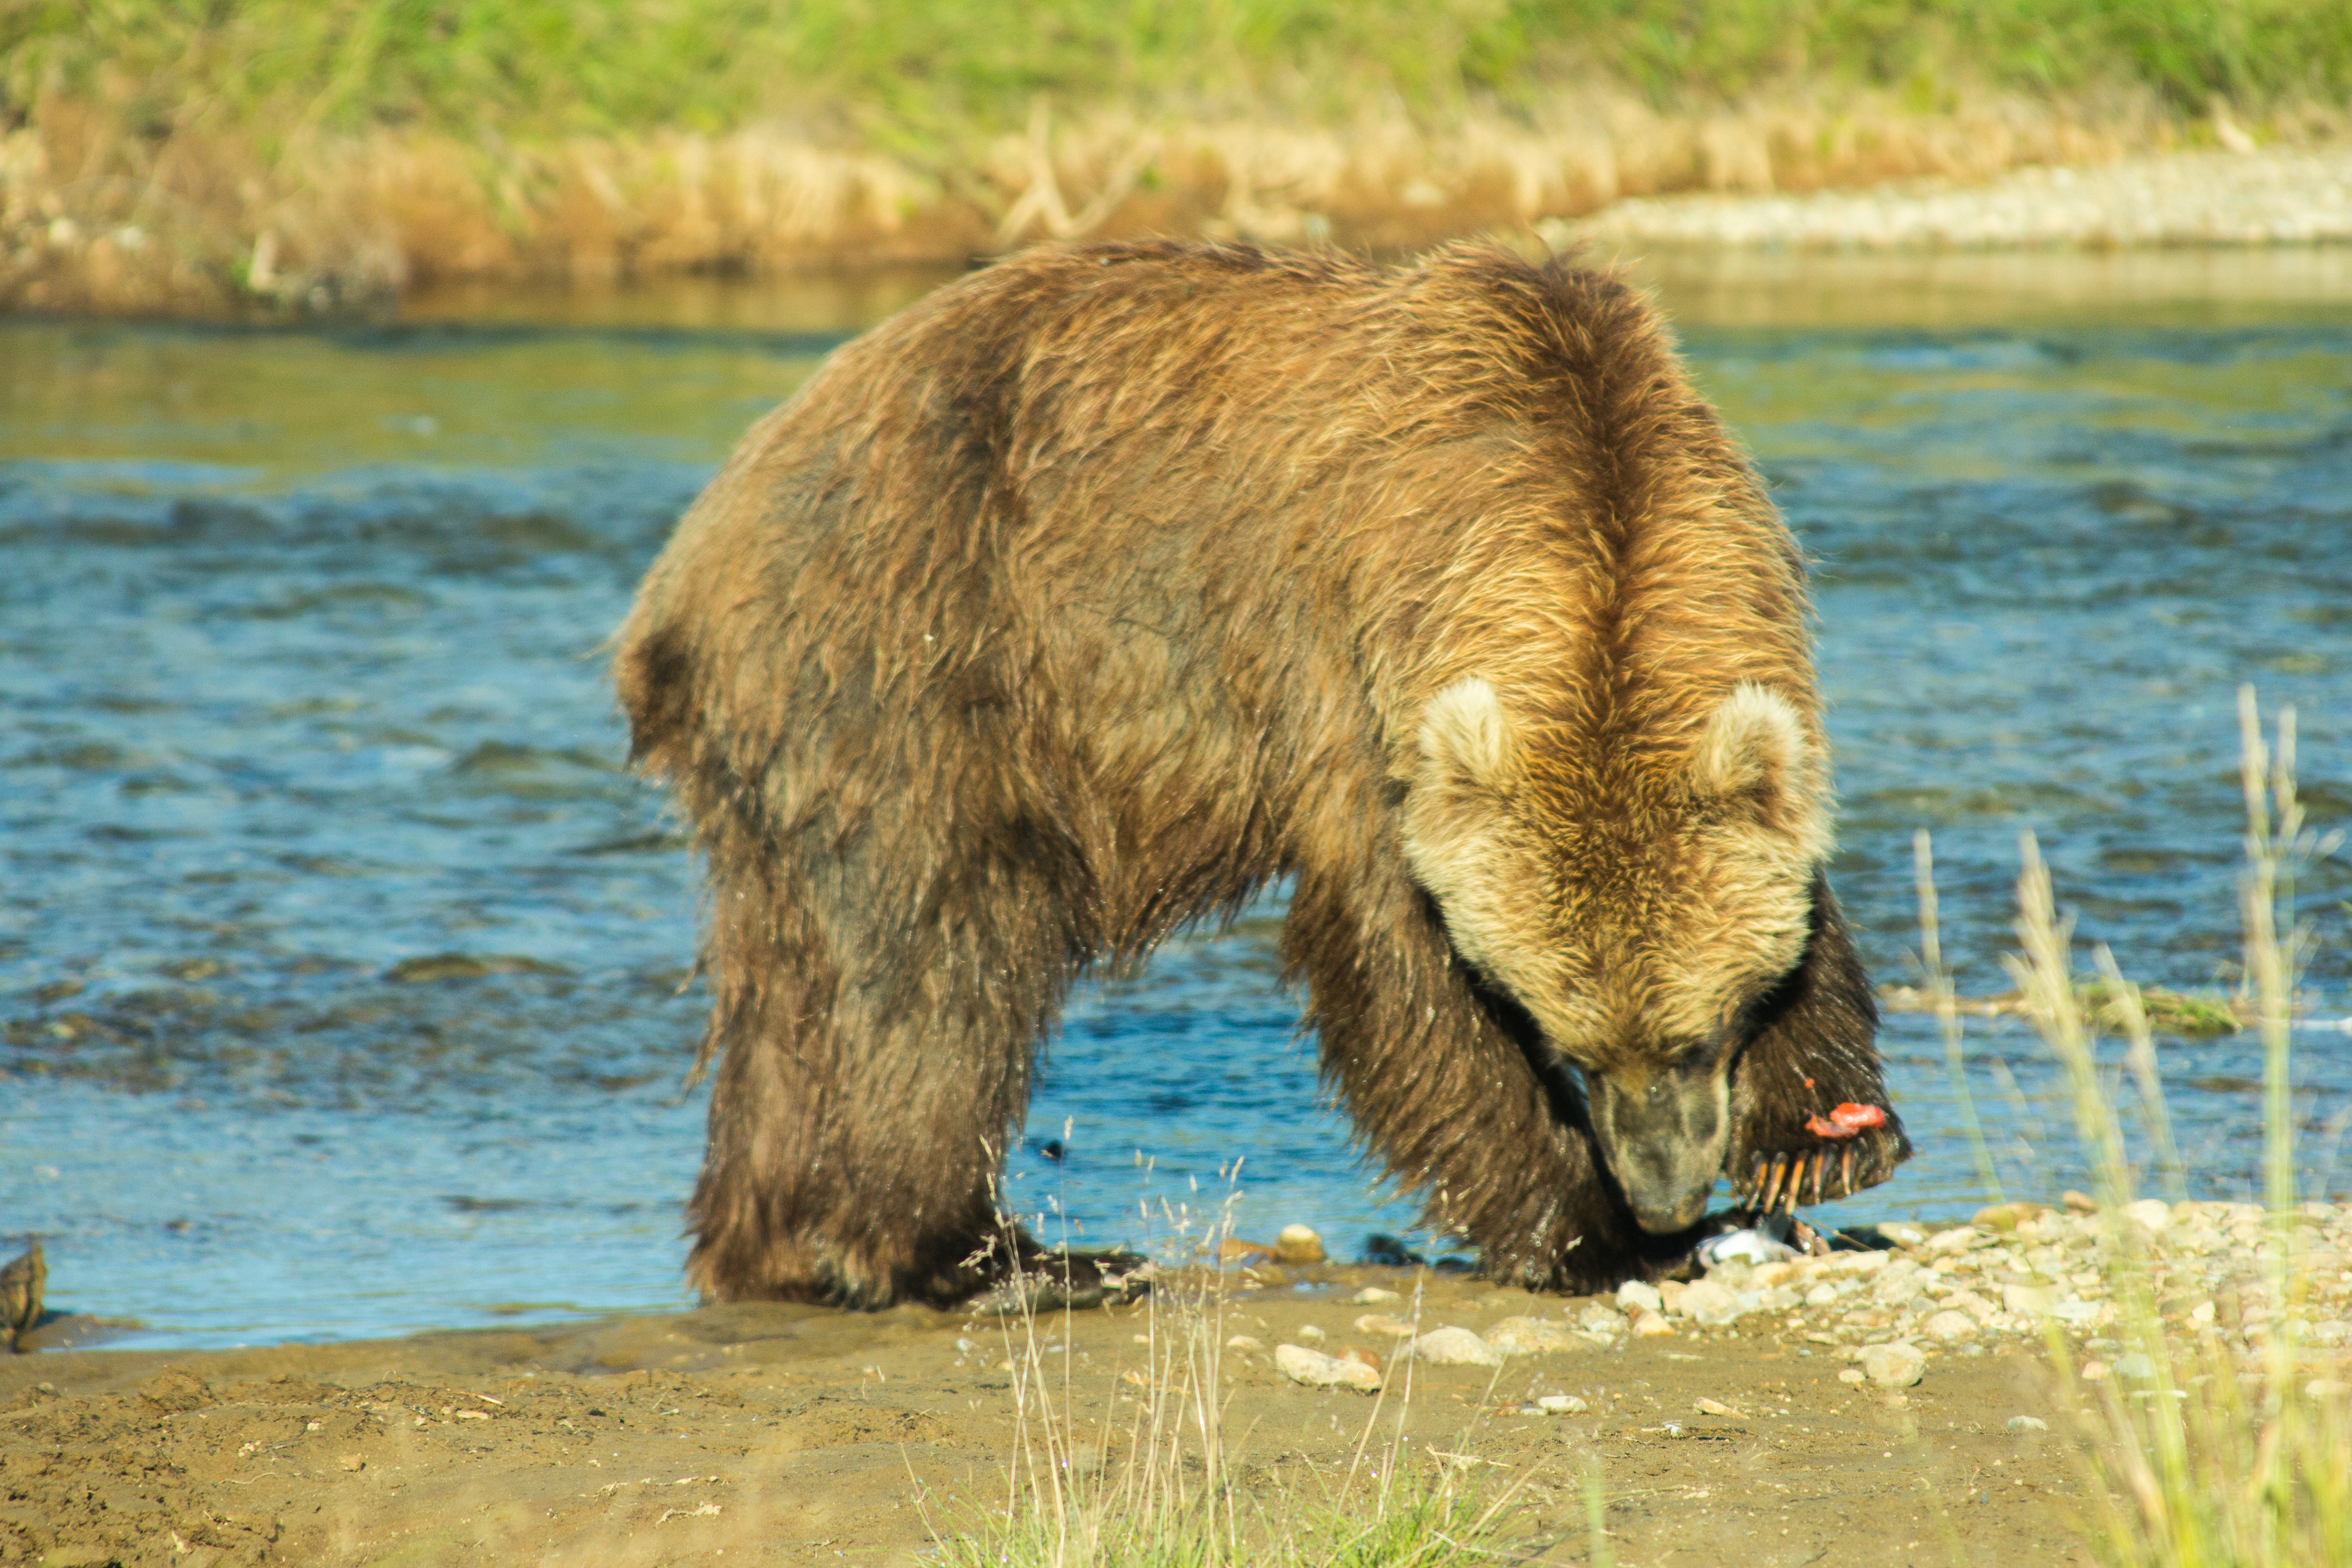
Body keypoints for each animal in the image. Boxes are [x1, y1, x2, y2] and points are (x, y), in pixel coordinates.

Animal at [614, 239, 1910, 1308]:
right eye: (1571, 1044)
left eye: (1702, 1030)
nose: (1663, 1186)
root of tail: (685, 562)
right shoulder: (1352, 673)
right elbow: (1394, 956)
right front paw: (1593, 1235)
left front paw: (1828, 1135)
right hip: (912, 659)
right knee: (937, 962)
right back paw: (1005, 1257)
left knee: (791, 989)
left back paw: (772, 1247)